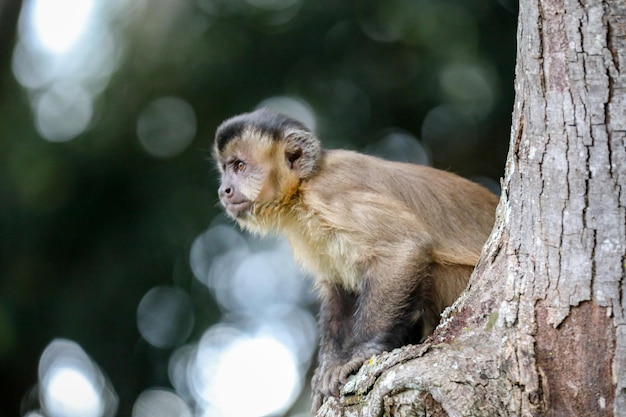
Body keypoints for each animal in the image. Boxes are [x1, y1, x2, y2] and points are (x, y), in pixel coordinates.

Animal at [213, 107, 498, 410]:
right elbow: (340, 288)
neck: (303, 187)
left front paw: (361, 354)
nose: (224, 190)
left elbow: (403, 249)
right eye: (225, 169)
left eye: (239, 166)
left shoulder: (330, 195)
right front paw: (328, 367)